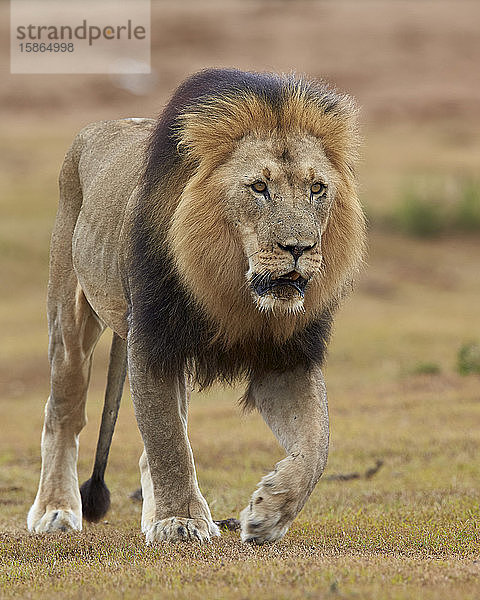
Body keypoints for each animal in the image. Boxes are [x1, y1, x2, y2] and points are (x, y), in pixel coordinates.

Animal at [27, 69, 364, 544]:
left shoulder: (287, 355)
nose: (299, 248)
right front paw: (180, 521)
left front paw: (269, 511)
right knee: (63, 413)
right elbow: (168, 439)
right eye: (259, 187)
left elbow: (317, 447)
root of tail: (97, 127)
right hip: (70, 317)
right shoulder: (152, 339)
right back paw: (55, 510)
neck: (236, 290)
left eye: (317, 188)